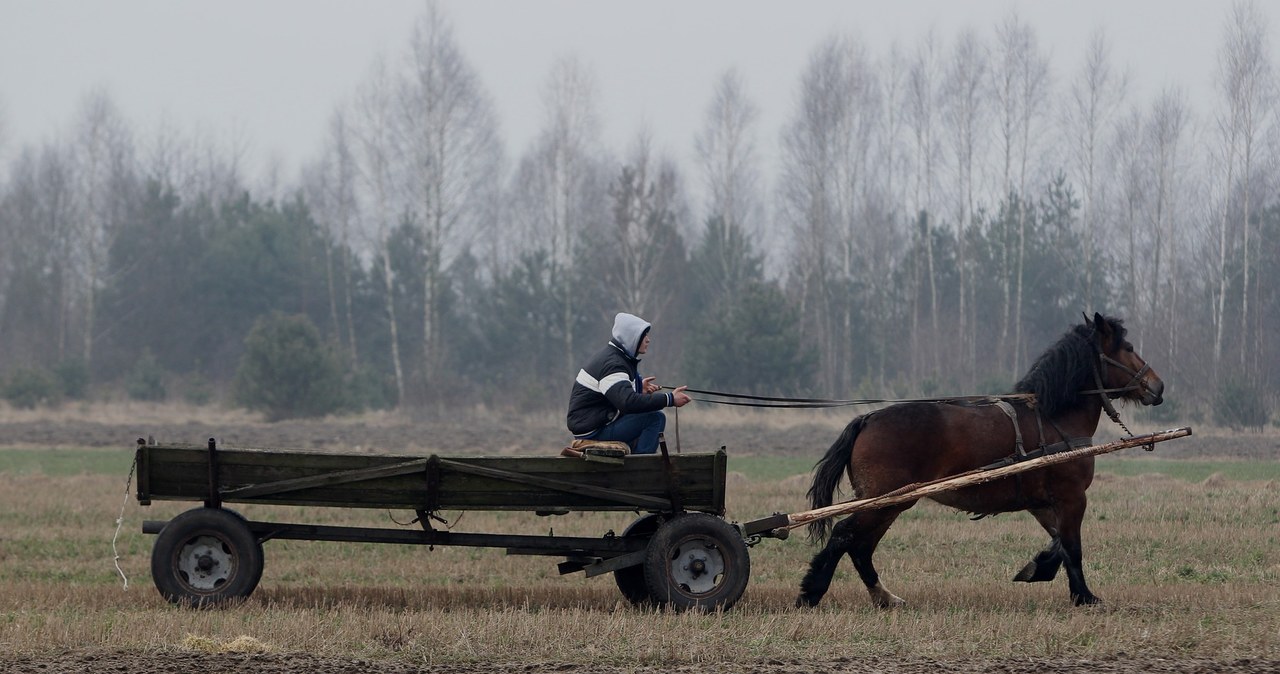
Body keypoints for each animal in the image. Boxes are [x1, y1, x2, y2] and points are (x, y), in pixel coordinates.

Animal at [798, 313, 1172, 608]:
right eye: (1128, 348)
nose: (1158, 386)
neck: (1053, 417)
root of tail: (868, 419)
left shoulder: (1042, 503)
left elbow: (1058, 545)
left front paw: (1037, 569)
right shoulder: (1072, 498)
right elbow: (1072, 547)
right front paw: (1084, 596)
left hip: (890, 504)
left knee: (860, 546)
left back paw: (883, 597)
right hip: (884, 500)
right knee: (845, 536)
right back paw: (811, 593)